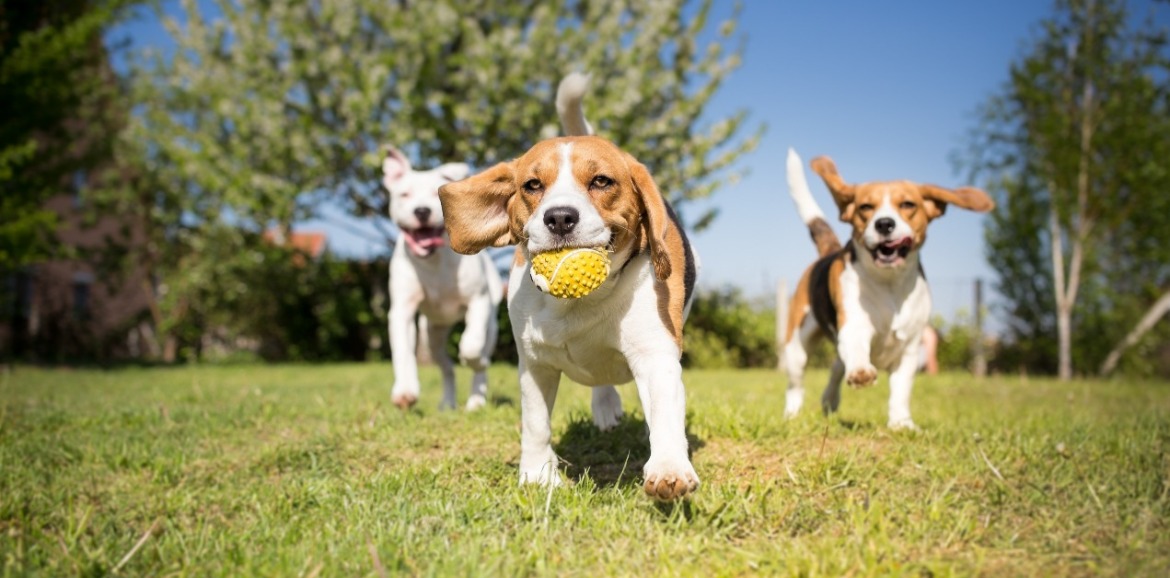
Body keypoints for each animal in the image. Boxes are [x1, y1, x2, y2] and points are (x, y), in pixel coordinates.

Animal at [383, 149, 503, 411]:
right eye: (404, 194)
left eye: (434, 194)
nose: (422, 211)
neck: (433, 261)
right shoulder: (402, 311)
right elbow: (402, 352)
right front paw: (405, 391)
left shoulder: (478, 302)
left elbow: (471, 345)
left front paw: (474, 359)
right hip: (432, 336)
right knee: (447, 367)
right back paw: (447, 403)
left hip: (491, 325)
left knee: (480, 358)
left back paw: (476, 400)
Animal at [437, 75, 692, 500]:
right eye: (532, 185)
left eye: (602, 181)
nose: (559, 217)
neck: (580, 303)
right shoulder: (534, 363)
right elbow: (536, 423)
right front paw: (538, 475)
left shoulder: (655, 352)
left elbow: (665, 414)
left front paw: (669, 468)